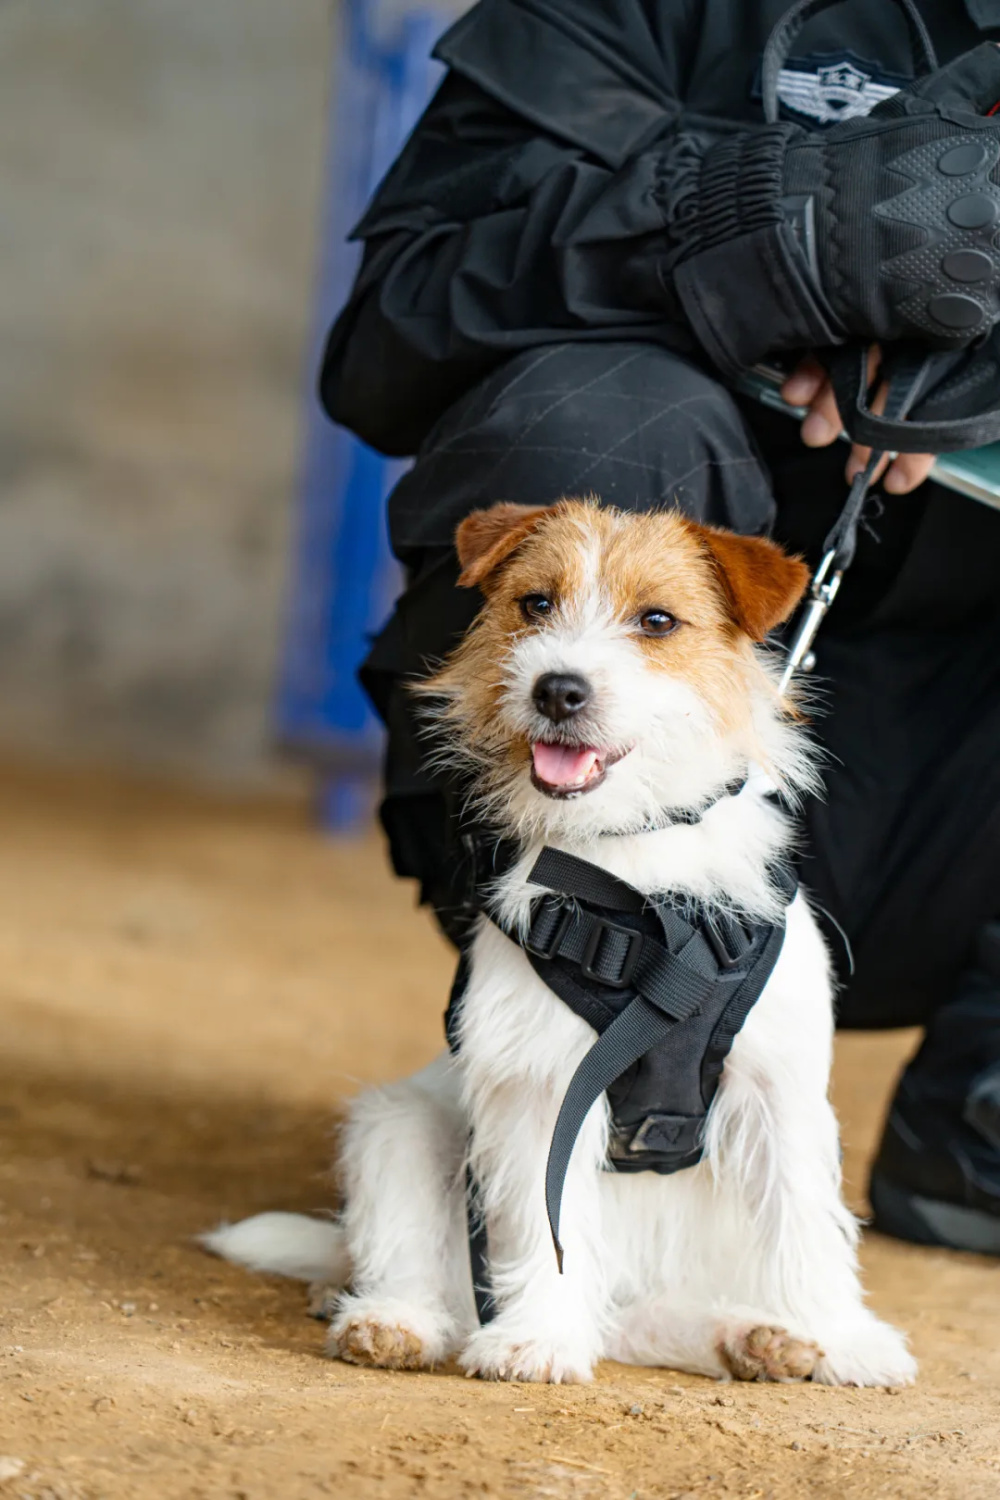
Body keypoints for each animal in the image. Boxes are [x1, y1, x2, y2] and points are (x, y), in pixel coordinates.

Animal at [206, 498, 917, 1386]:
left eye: (657, 621)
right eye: (536, 604)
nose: (558, 689)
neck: (636, 874)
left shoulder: (778, 1092)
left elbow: (807, 1227)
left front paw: (845, 1335)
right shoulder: (547, 1088)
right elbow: (545, 1231)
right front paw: (537, 1336)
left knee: (634, 1324)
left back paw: (754, 1336)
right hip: (399, 1130)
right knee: (424, 1264)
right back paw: (392, 1319)